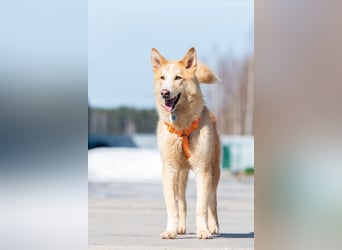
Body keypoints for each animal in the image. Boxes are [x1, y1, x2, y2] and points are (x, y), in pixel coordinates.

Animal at [150, 47, 220, 239]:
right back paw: (180, 227)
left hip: (214, 170)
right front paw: (170, 230)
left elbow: (202, 206)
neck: (181, 127)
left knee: (212, 200)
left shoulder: (203, 169)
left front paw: (203, 230)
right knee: (182, 201)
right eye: (162, 78)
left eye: (178, 78)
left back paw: (213, 226)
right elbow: (172, 206)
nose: (164, 93)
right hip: (181, 174)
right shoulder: (169, 169)